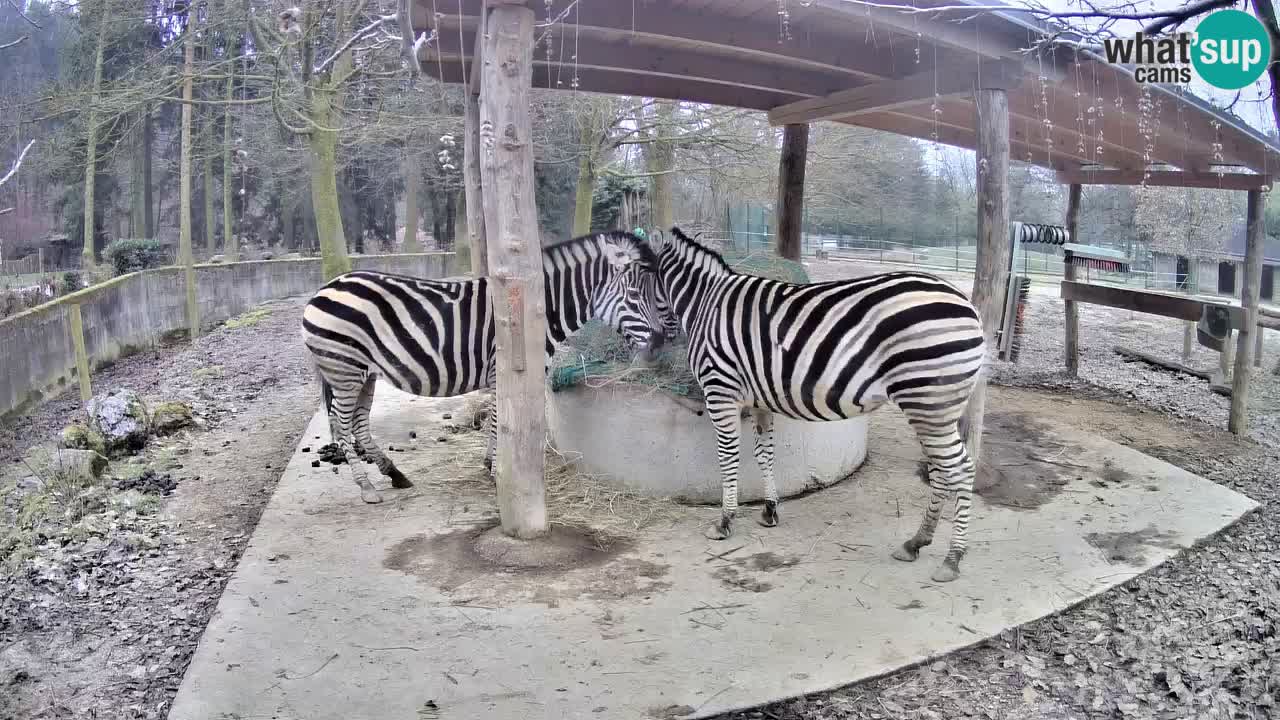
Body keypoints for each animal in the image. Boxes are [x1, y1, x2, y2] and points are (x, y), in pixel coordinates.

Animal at [294, 233, 665, 502]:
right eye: (635, 295)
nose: (661, 344)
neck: (535, 309)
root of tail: (324, 288)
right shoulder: (502, 371)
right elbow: (500, 421)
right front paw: (497, 470)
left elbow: (498, 421)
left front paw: (491, 466)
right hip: (345, 369)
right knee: (341, 425)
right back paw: (366, 488)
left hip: (364, 373)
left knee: (357, 423)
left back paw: (394, 473)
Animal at [650, 226, 988, 579]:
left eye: (641, 277)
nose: (658, 344)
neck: (707, 301)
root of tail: (966, 304)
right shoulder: (759, 400)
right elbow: (763, 454)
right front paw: (769, 511)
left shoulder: (720, 390)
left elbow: (729, 457)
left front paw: (725, 521)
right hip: (933, 409)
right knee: (941, 470)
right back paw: (916, 542)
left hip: (929, 402)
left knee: (962, 469)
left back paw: (952, 558)